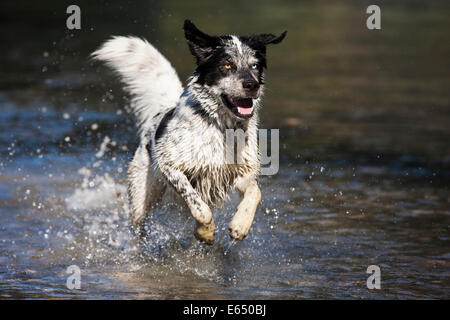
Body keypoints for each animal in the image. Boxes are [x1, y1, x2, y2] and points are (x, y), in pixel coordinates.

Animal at [92, 20, 286, 244]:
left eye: (255, 65)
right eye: (227, 65)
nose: (252, 85)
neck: (221, 127)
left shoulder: (240, 172)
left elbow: (256, 192)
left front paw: (240, 225)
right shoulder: (170, 166)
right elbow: (199, 206)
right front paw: (205, 232)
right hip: (141, 197)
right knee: (140, 225)